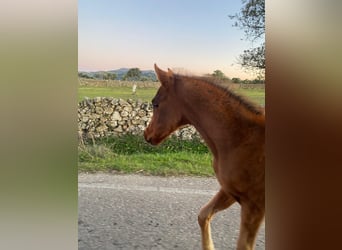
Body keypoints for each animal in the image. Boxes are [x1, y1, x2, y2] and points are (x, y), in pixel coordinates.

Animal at [144, 64, 264, 250]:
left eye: (156, 104)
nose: (146, 134)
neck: (241, 137)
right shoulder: (229, 191)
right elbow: (203, 215)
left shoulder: (254, 206)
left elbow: (243, 245)